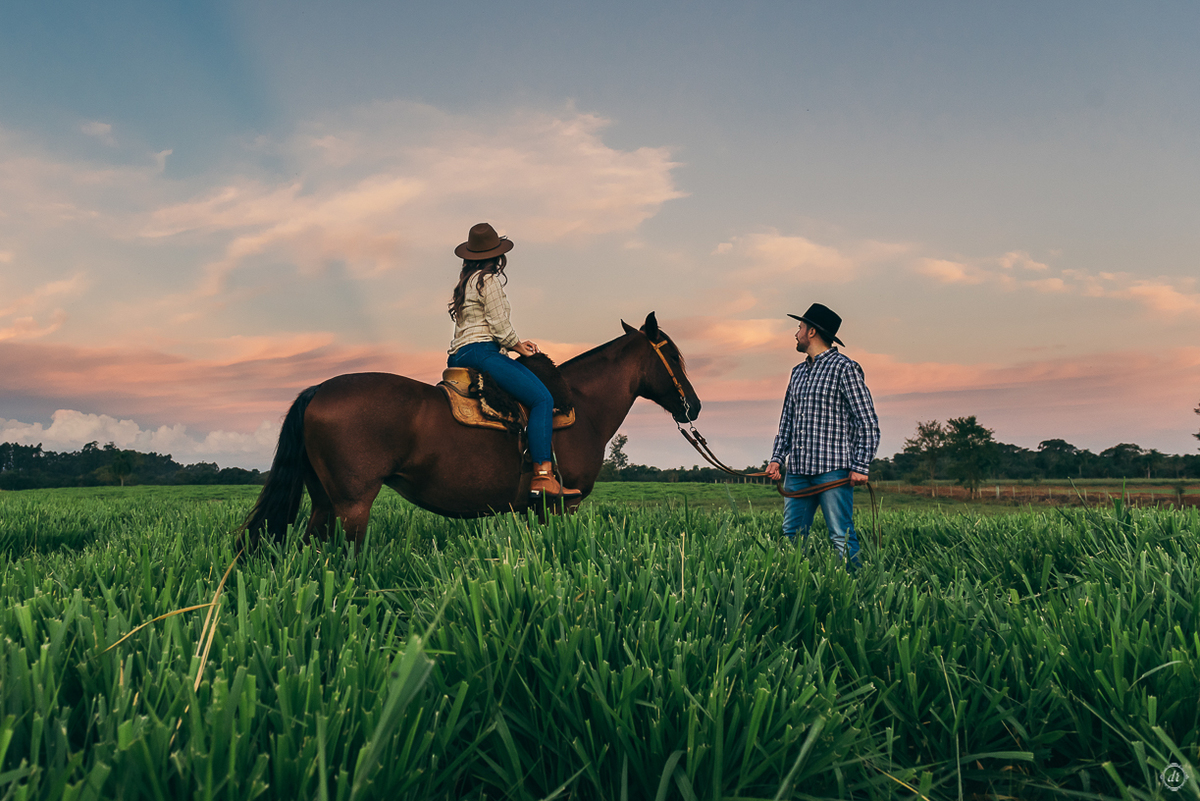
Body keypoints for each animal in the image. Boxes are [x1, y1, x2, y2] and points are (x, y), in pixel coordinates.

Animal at [243, 312, 701, 546]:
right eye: (673, 356)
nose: (693, 406)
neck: (583, 406)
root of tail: (318, 389)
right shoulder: (562, 506)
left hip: (324, 502)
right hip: (353, 505)